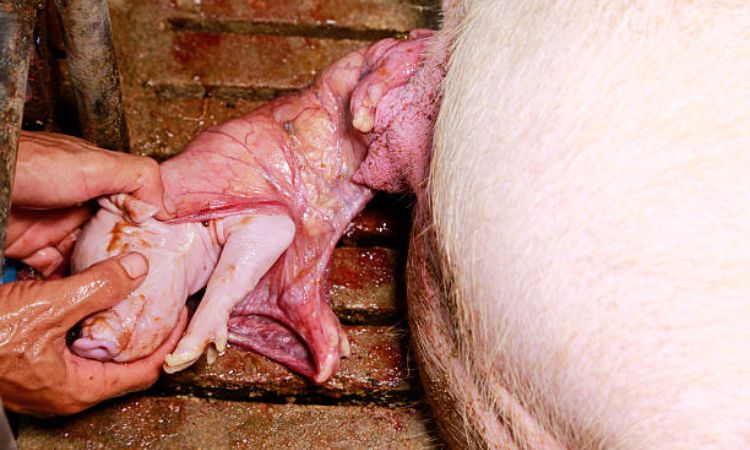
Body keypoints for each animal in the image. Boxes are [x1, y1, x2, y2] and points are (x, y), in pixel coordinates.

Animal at [70, 33, 431, 384]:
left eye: (119, 252)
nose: (83, 341)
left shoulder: (242, 205)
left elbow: (269, 236)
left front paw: (183, 355)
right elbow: (302, 319)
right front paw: (338, 347)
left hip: (366, 62)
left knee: (389, 59)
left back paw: (367, 106)